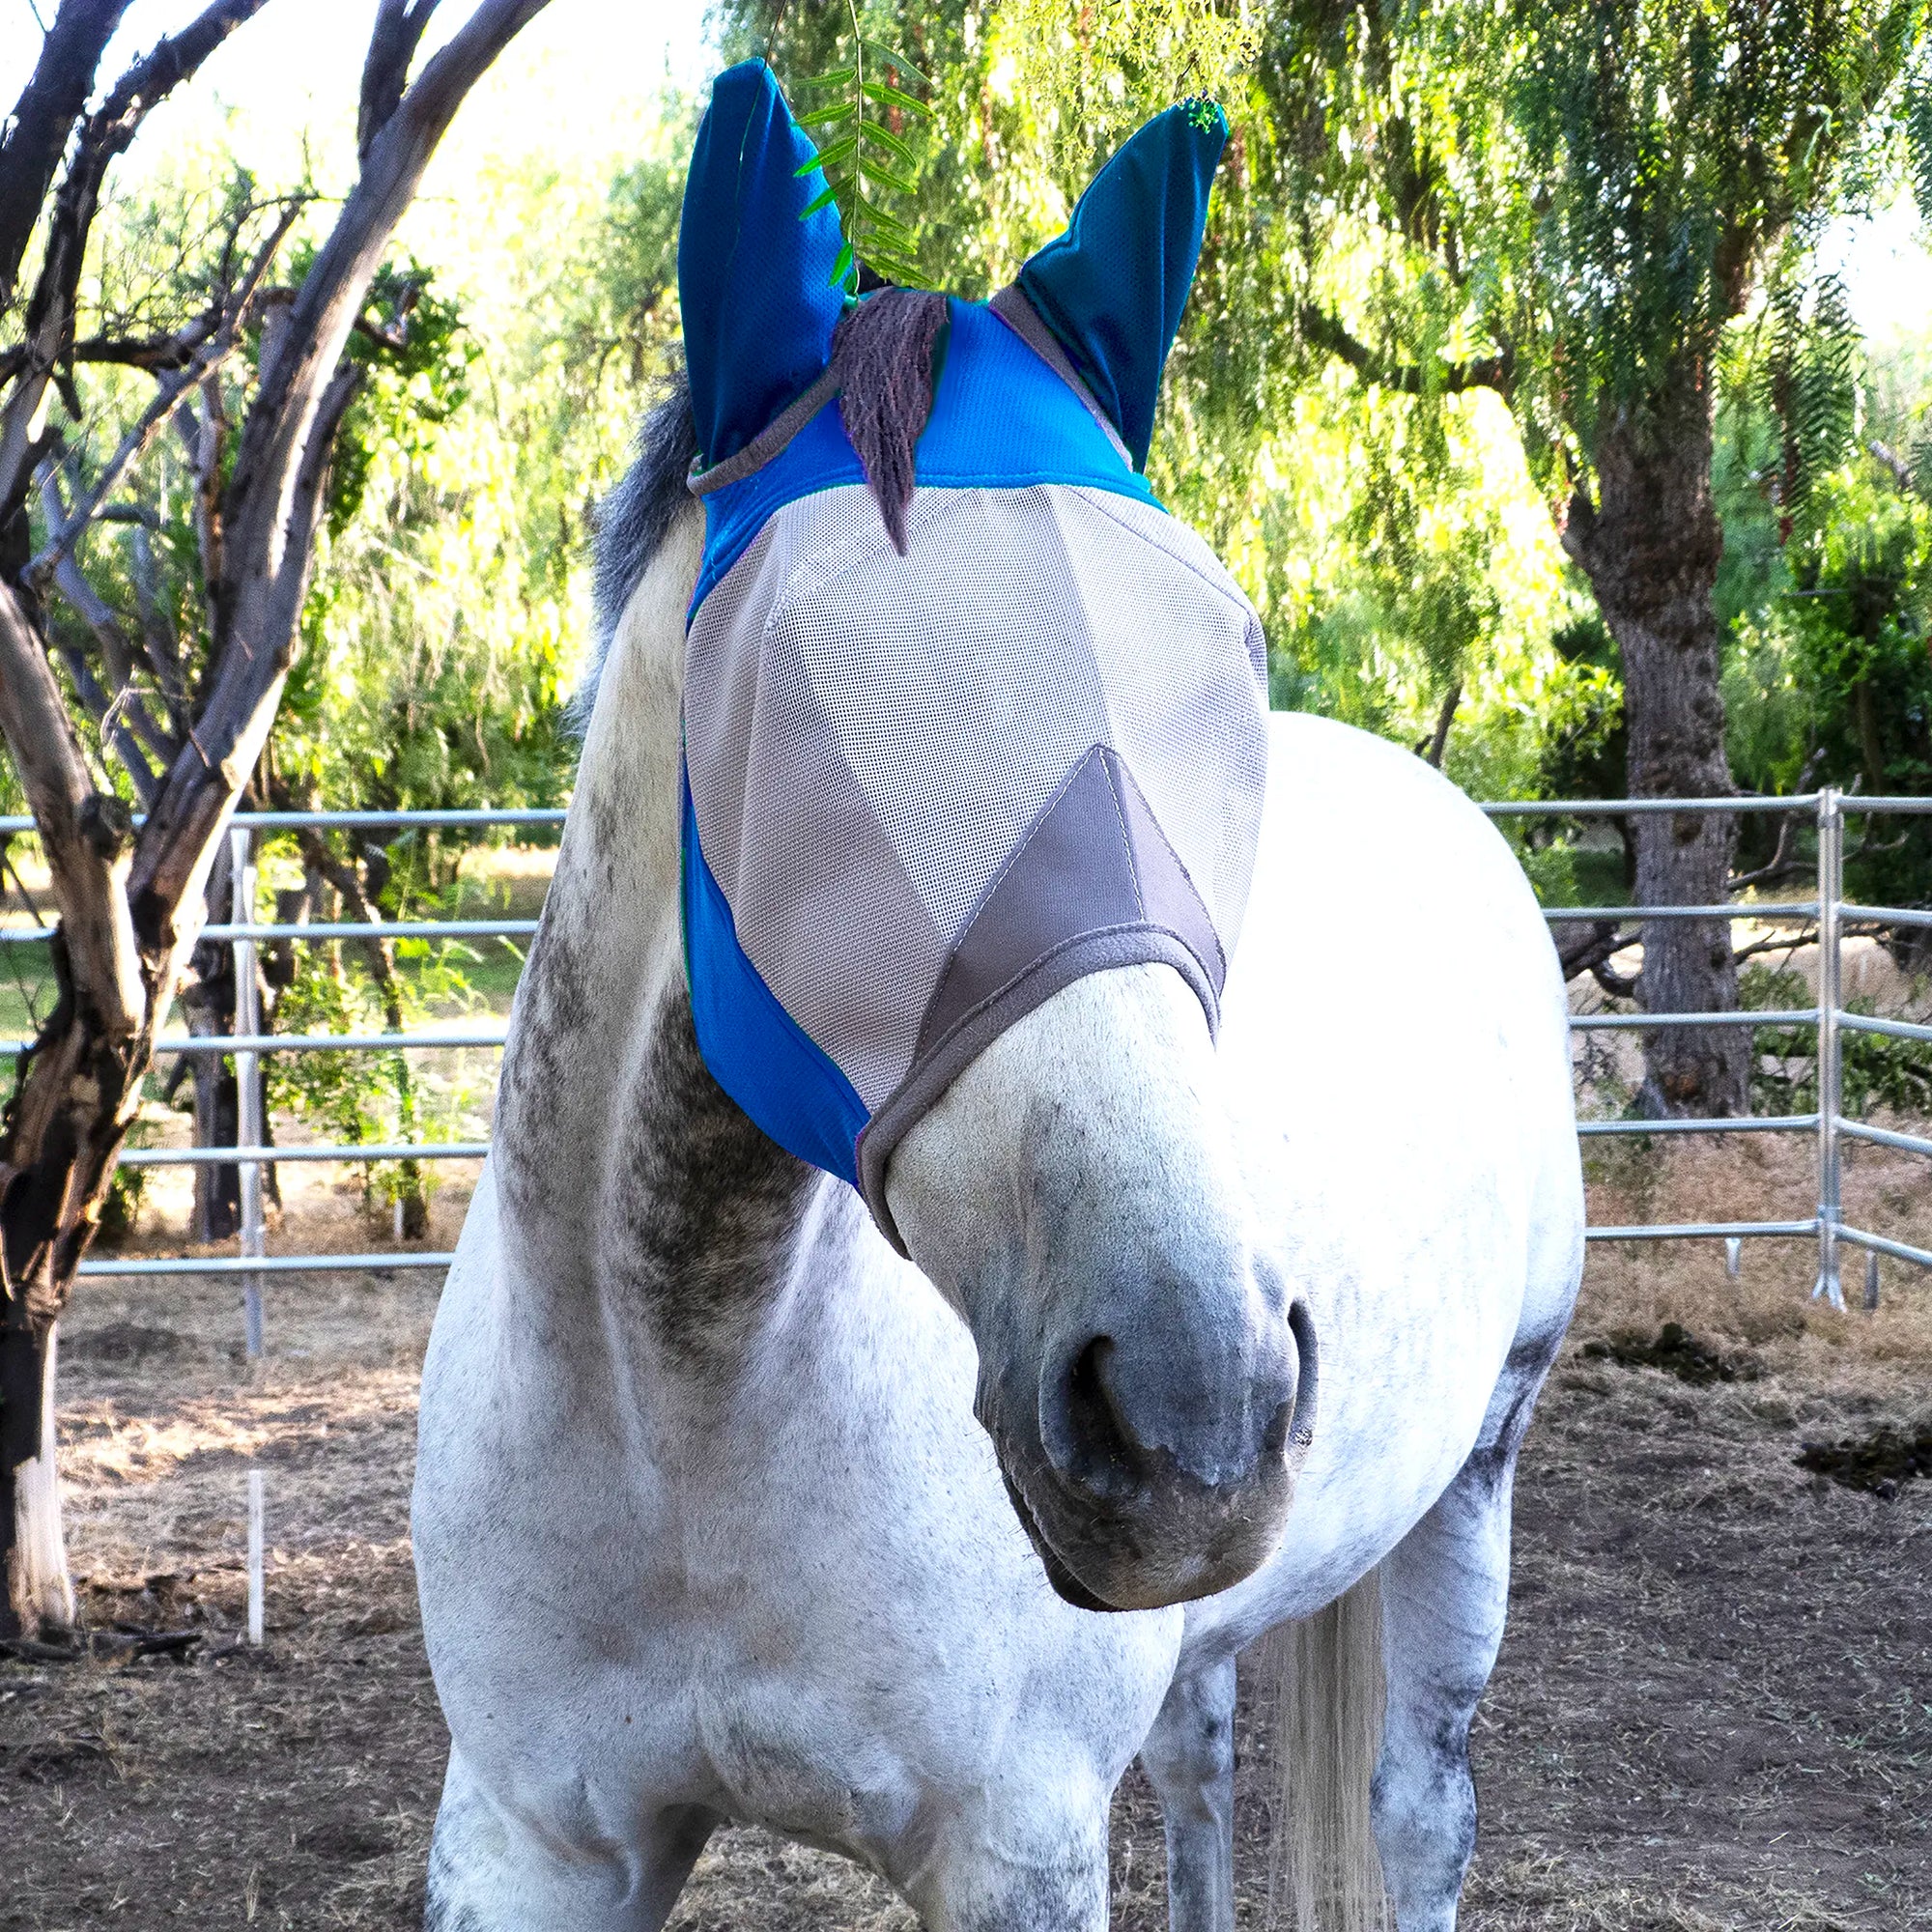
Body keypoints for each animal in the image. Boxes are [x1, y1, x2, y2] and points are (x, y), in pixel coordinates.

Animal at [412, 384, 1584, 1924]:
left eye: (1218, 647)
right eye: (787, 702)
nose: (1193, 1385)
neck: (680, 1415)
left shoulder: (1014, 1852)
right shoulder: (532, 1836)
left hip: (1477, 1471)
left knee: (1418, 1816)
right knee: (1199, 1769)